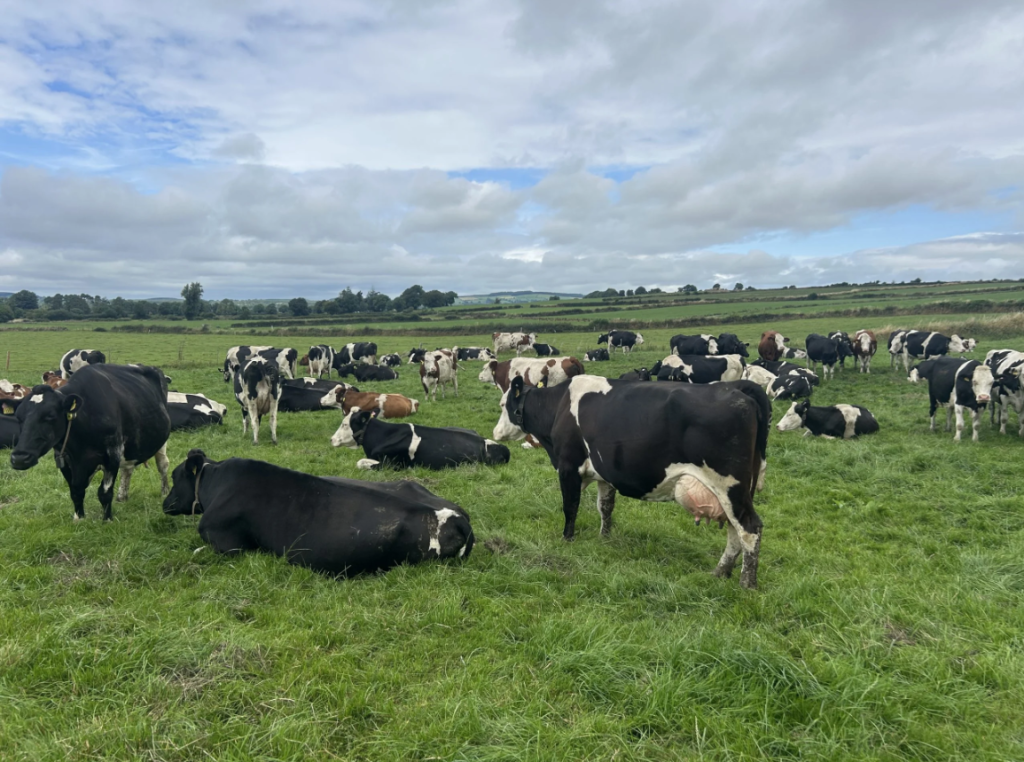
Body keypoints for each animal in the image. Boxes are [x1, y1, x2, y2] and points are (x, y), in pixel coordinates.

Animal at [9, 364, 171, 520]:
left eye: (50, 416)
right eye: (18, 417)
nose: (20, 458)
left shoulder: (113, 454)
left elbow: (104, 493)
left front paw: (107, 520)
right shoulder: (65, 459)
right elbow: (76, 491)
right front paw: (79, 518)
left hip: (161, 442)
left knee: (163, 465)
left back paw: (165, 492)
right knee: (128, 468)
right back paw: (122, 496)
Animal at [492, 375, 770, 589]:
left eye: (503, 403)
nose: (495, 432)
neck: (560, 405)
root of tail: (736, 386)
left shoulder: (568, 466)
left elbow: (570, 506)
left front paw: (566, 540)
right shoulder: (603, 474)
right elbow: (605, 507)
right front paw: (604, 538)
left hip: (728, 485)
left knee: (749, 528)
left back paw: (747, 584)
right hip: (737, 491)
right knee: (735, 529)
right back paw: (720, 572)